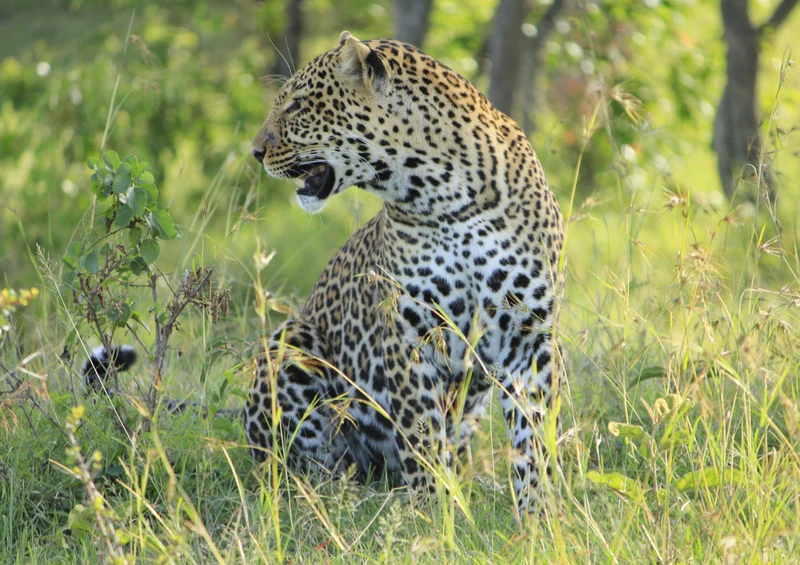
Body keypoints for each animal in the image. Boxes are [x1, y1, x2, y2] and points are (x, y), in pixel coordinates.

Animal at [246, 30, 565, 514]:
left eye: (298, 104)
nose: (255, 152)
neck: (446, 196)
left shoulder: (529, 334)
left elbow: (534, 436)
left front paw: (539, 514)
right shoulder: (410, 335)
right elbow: (422, 437)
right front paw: (434, 514)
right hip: (290, 345)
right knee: (302, 463)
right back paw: (337, 497)